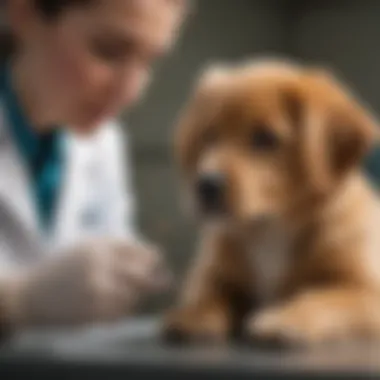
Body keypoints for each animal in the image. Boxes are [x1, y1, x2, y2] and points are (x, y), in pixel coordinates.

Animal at [163, 58, 380, 348]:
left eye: (264, 138)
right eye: (209, 135)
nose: (206, 185)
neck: (269, 228)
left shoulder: (367, 290)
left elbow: (324, 298)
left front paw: (286, 320)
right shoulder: (209, 273)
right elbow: (209, 295)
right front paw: (194, 315)